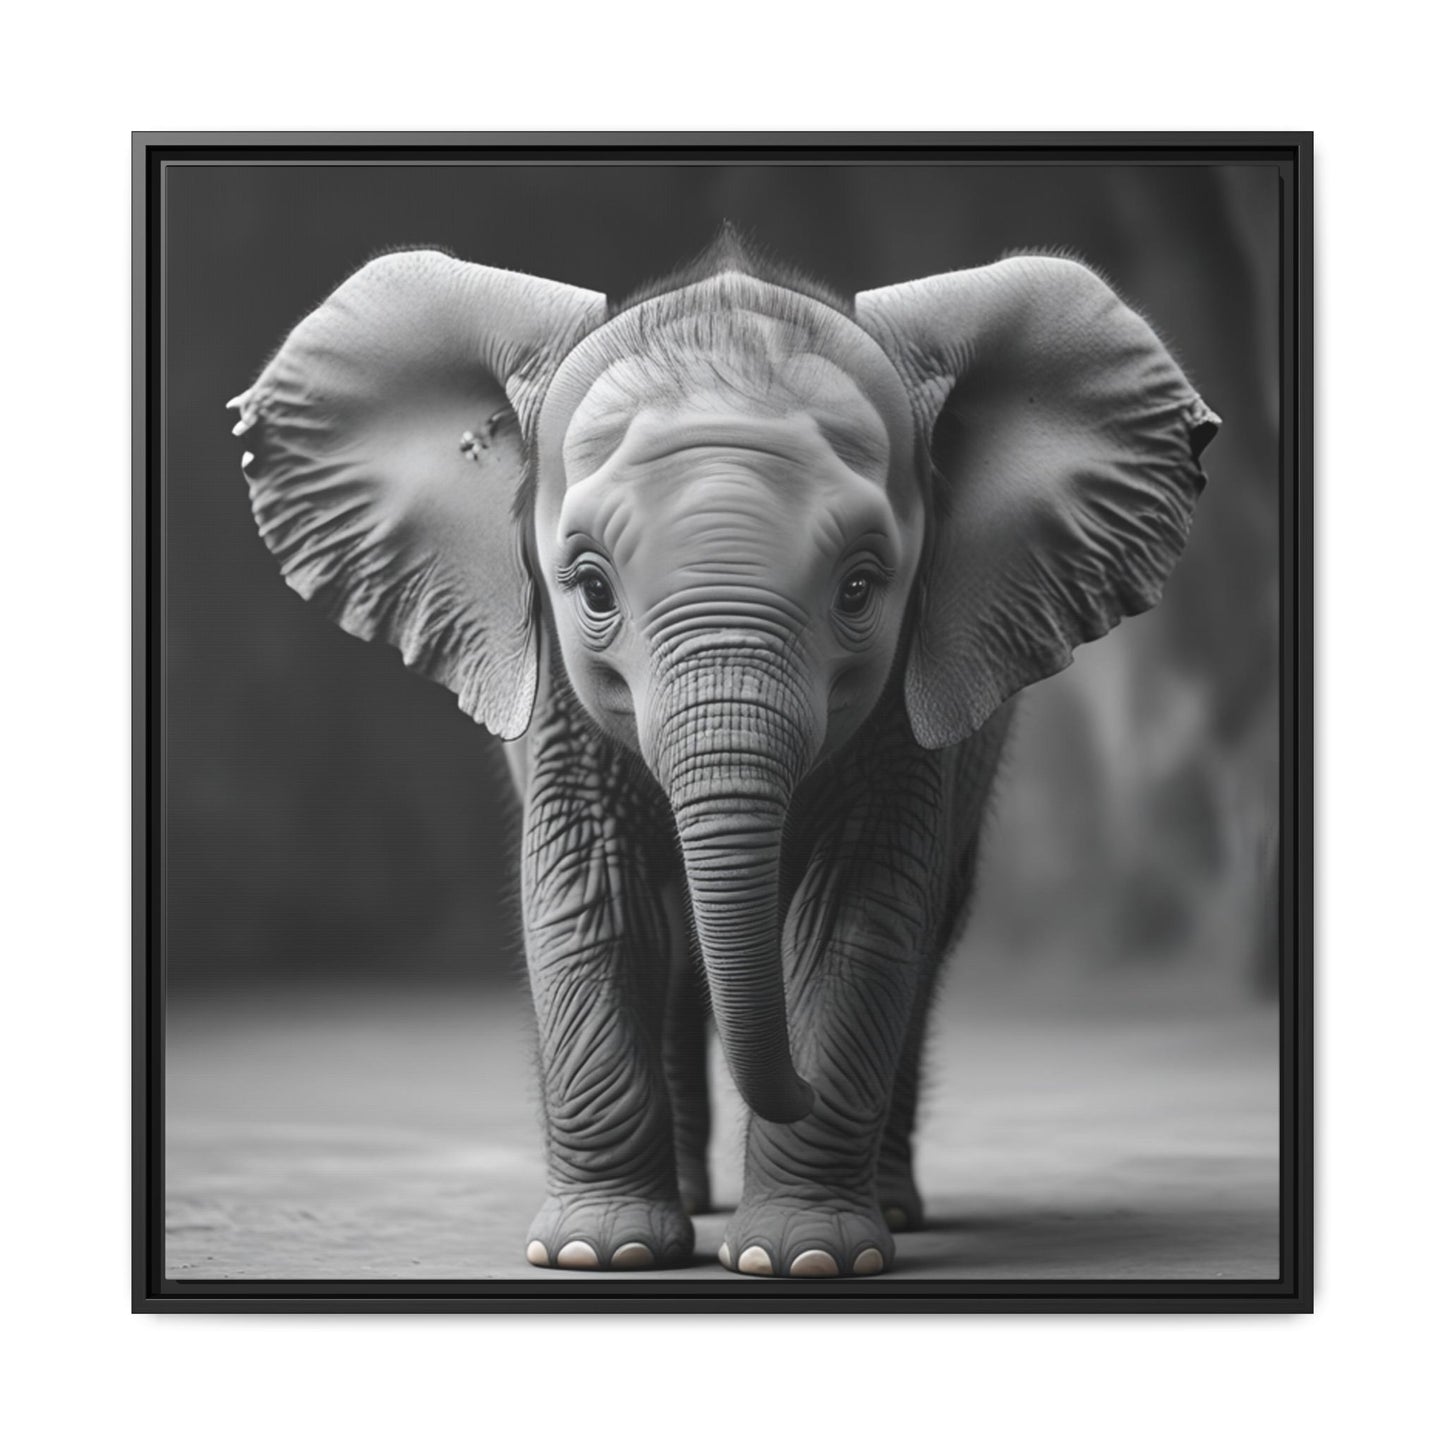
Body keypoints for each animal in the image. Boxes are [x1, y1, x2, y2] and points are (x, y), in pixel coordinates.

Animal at [230, 230, 1218, 1279]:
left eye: (861, 588)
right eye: (590, 586)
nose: (797, 1091)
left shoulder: (907, 695)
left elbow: (857, 913)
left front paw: (805, 1258)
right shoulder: (556, 696)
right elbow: (593, 894)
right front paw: (596, 1252)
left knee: (921, 938)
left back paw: (888, 1207)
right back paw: (692, 1205)